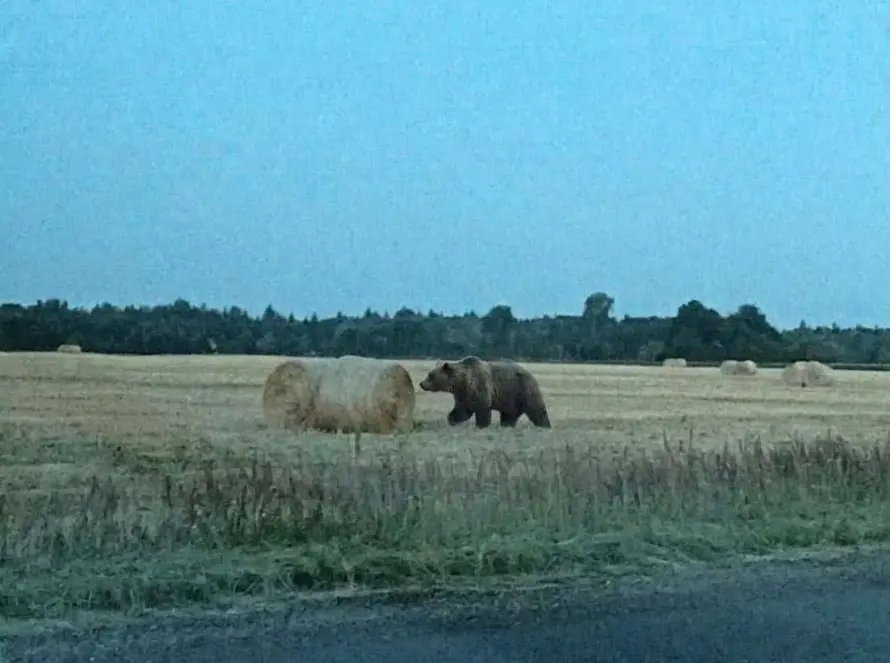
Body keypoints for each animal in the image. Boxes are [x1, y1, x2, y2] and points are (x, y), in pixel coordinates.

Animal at [419, 355, 552, 429]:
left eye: (430, 375)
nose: (421, 383)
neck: (462, 382)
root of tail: (530, 374)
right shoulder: (463, 395)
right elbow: (462, 411)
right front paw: (452, 419)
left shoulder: (480, 387)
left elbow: (482, 409)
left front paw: (481, 425)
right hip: (509, 399)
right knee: (509, 414)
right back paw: (506, 425)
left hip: (523, 389)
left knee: (536, 409)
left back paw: (545, 426)